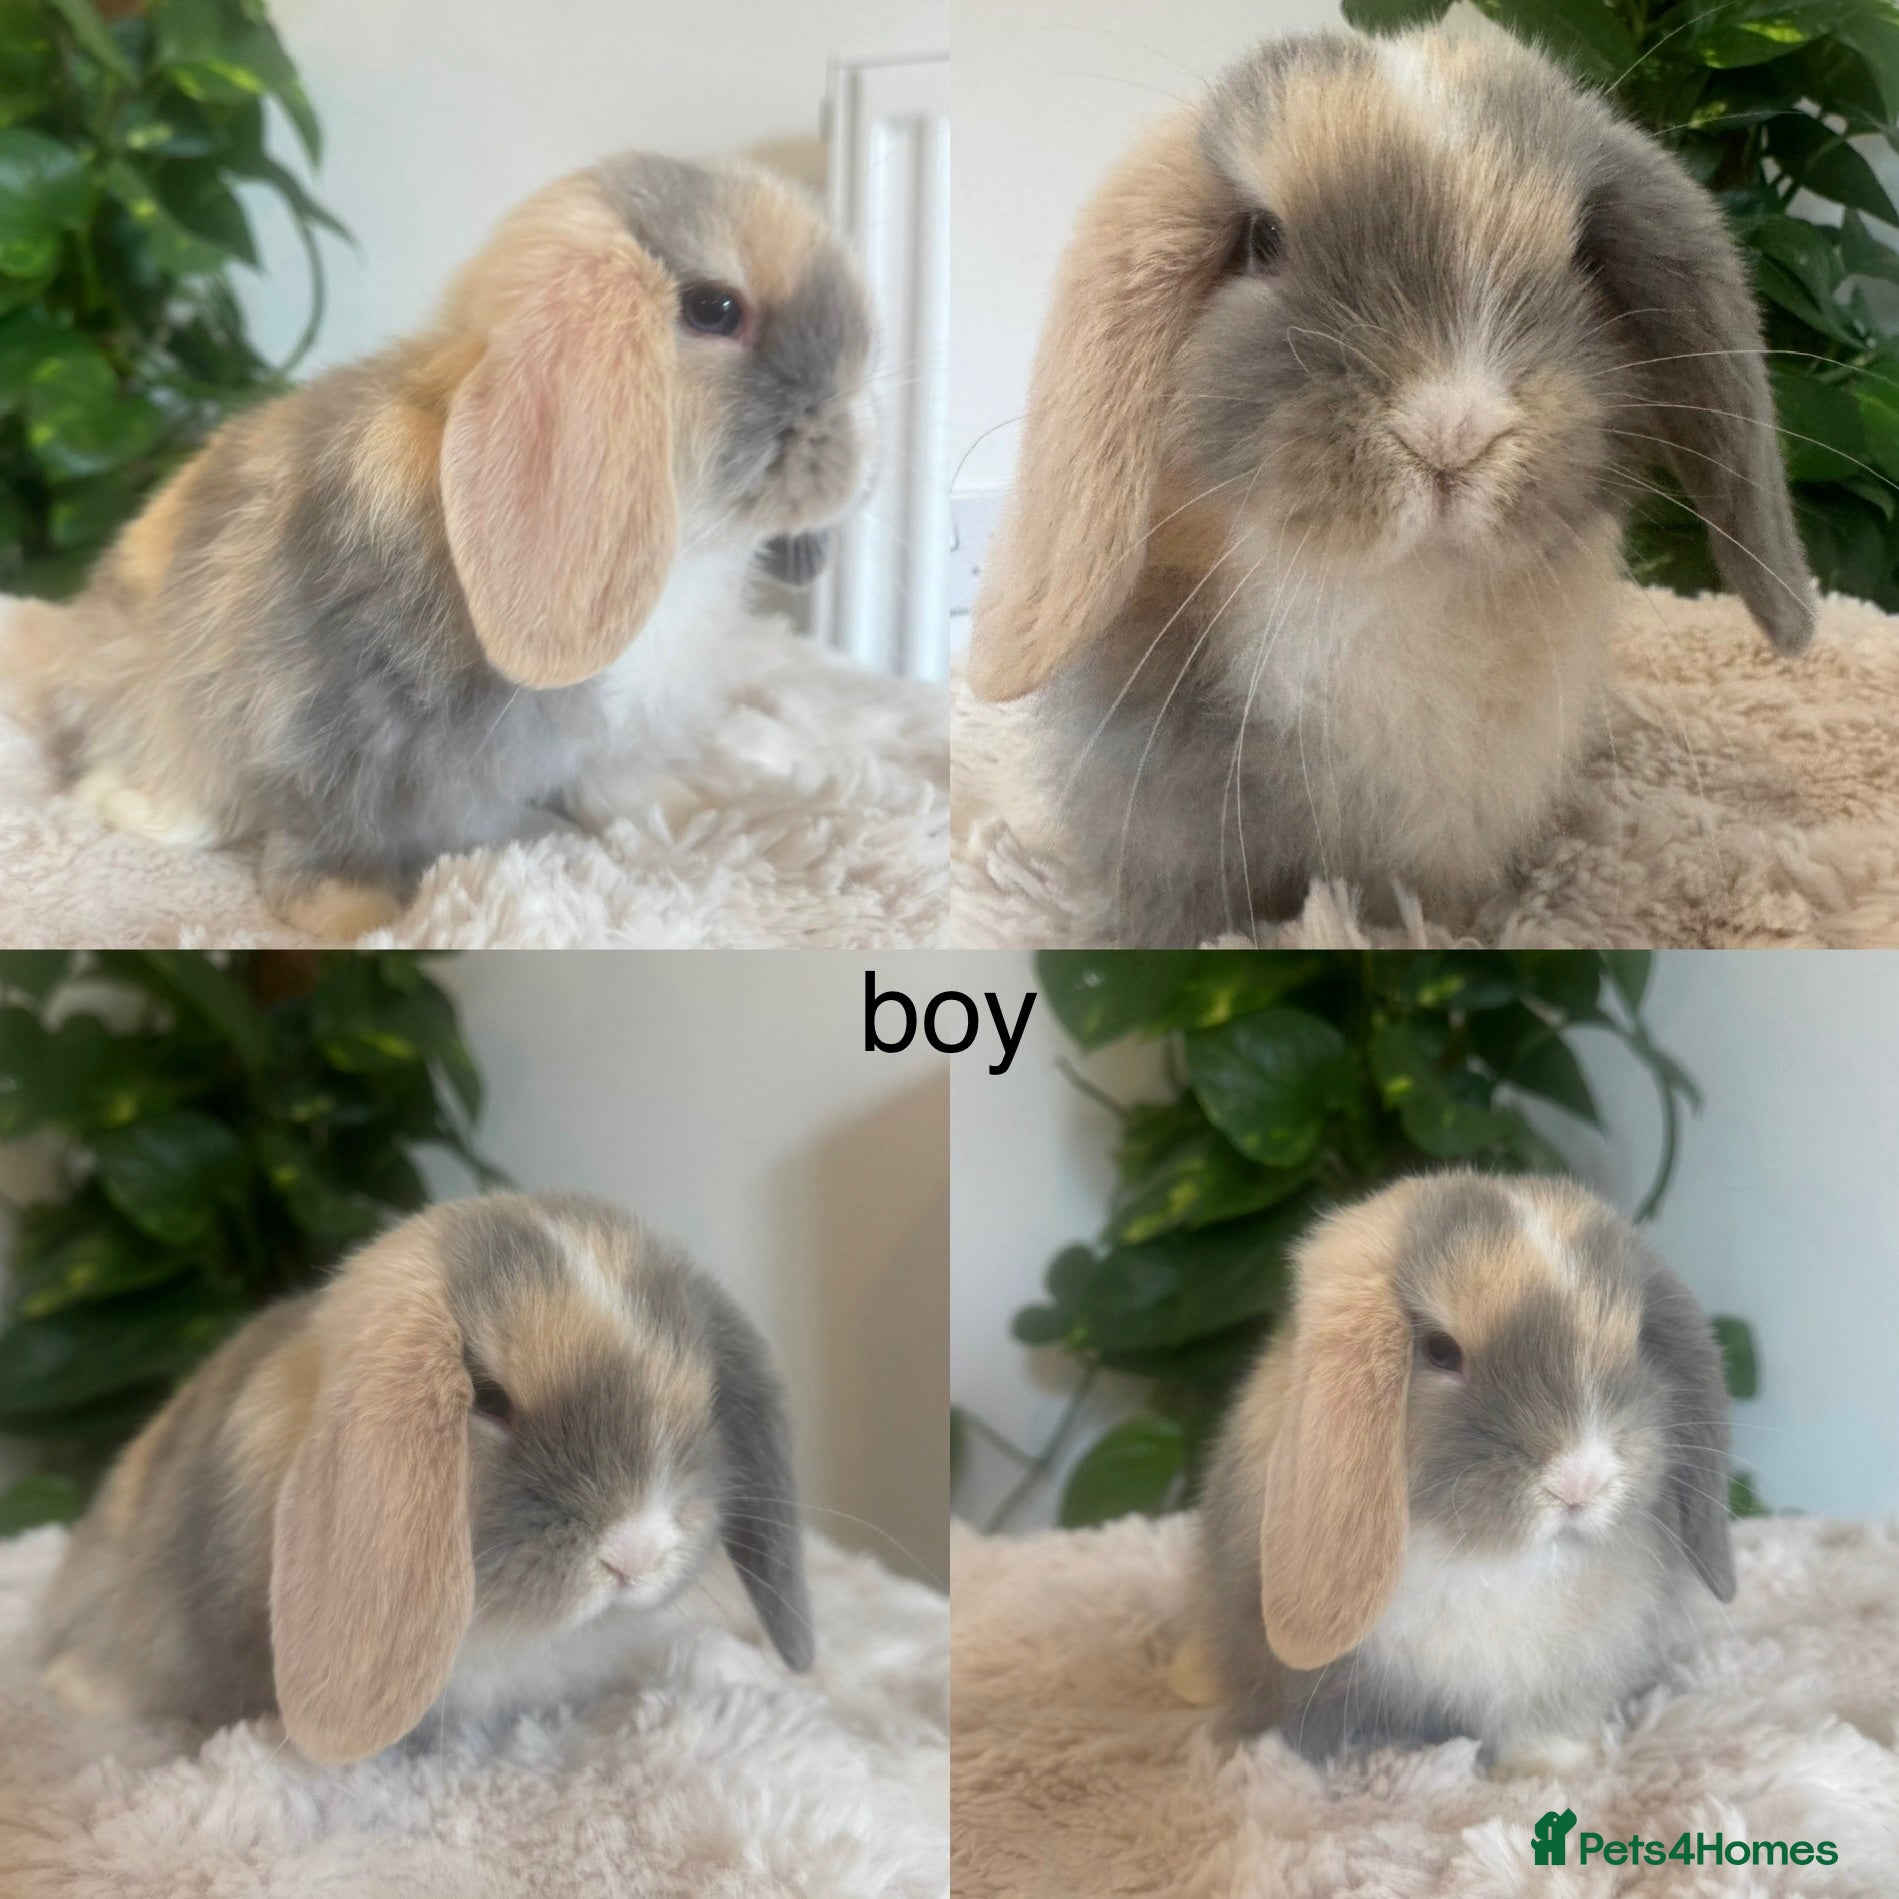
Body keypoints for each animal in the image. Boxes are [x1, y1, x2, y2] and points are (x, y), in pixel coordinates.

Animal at [1, 152, 873, 940]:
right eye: (715, 308)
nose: (852, 456)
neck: (685, 547)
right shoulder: (337, 716)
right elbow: (337, 821)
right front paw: (352, 913)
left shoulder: (620, 727)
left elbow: (614, 776)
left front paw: (676, 809)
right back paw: (141, 805)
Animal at [1185, 1171, 1735, 1777]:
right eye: (1441, 1351)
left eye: (1636, 1340)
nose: (1580, 1481)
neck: (1490, 1558)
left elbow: (1542, 1727)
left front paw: (1550, 1768)